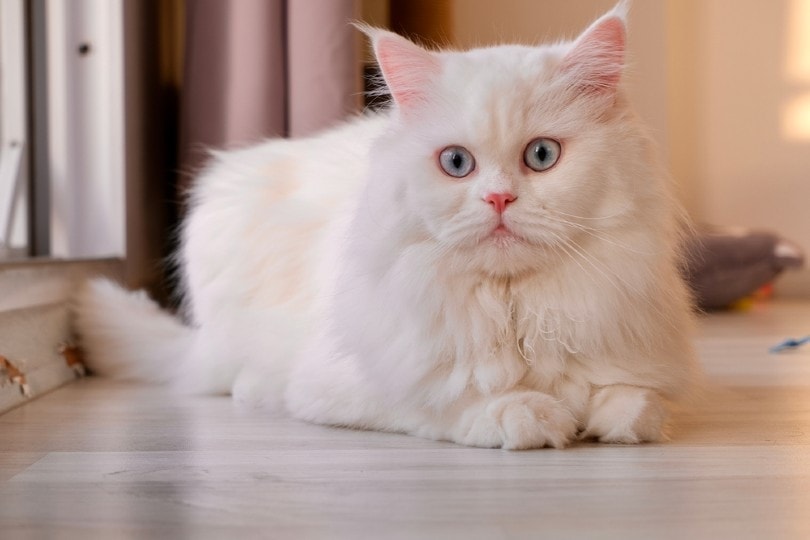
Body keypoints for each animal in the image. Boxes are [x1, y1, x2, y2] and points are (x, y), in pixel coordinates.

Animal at [72, 3, 696, 452]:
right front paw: (529, 416)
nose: (498, 198)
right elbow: (444, 403)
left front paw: (606, 415)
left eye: (542, 156)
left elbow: (637, 404)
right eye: (456, 163)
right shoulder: (349, 386)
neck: (511, 307)